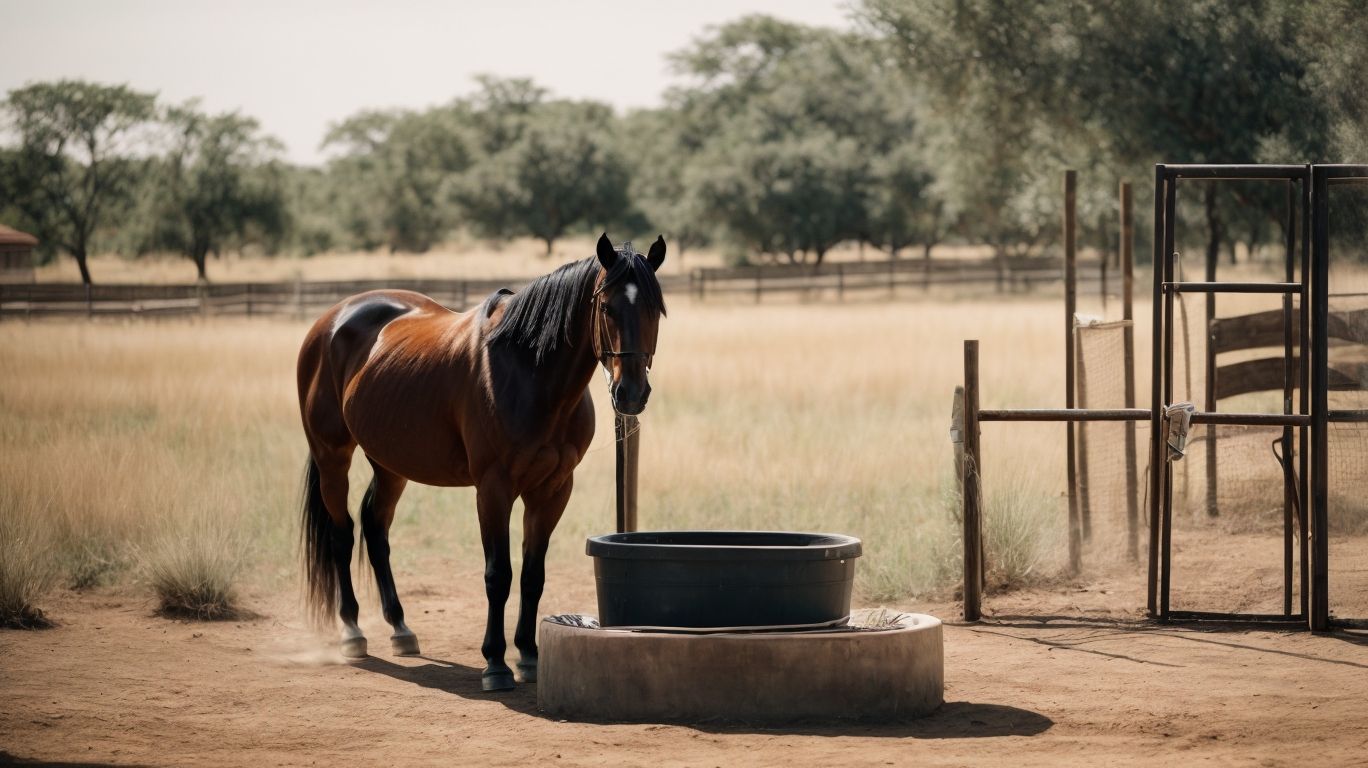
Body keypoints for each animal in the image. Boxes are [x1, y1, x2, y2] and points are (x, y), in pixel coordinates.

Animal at [296, 233, 666, 691]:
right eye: (607, 307)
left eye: (654, 308)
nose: (630, 392)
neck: (530, 373)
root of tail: (331, 320)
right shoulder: (493, 489)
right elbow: (498, 575)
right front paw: (495, 662)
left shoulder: (553, 489)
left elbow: (532, 575)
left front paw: (528, 655)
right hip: (332, 456)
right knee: (342, 536)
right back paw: (352, 631)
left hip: (391, 464)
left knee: (375, 529)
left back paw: (401, 629)